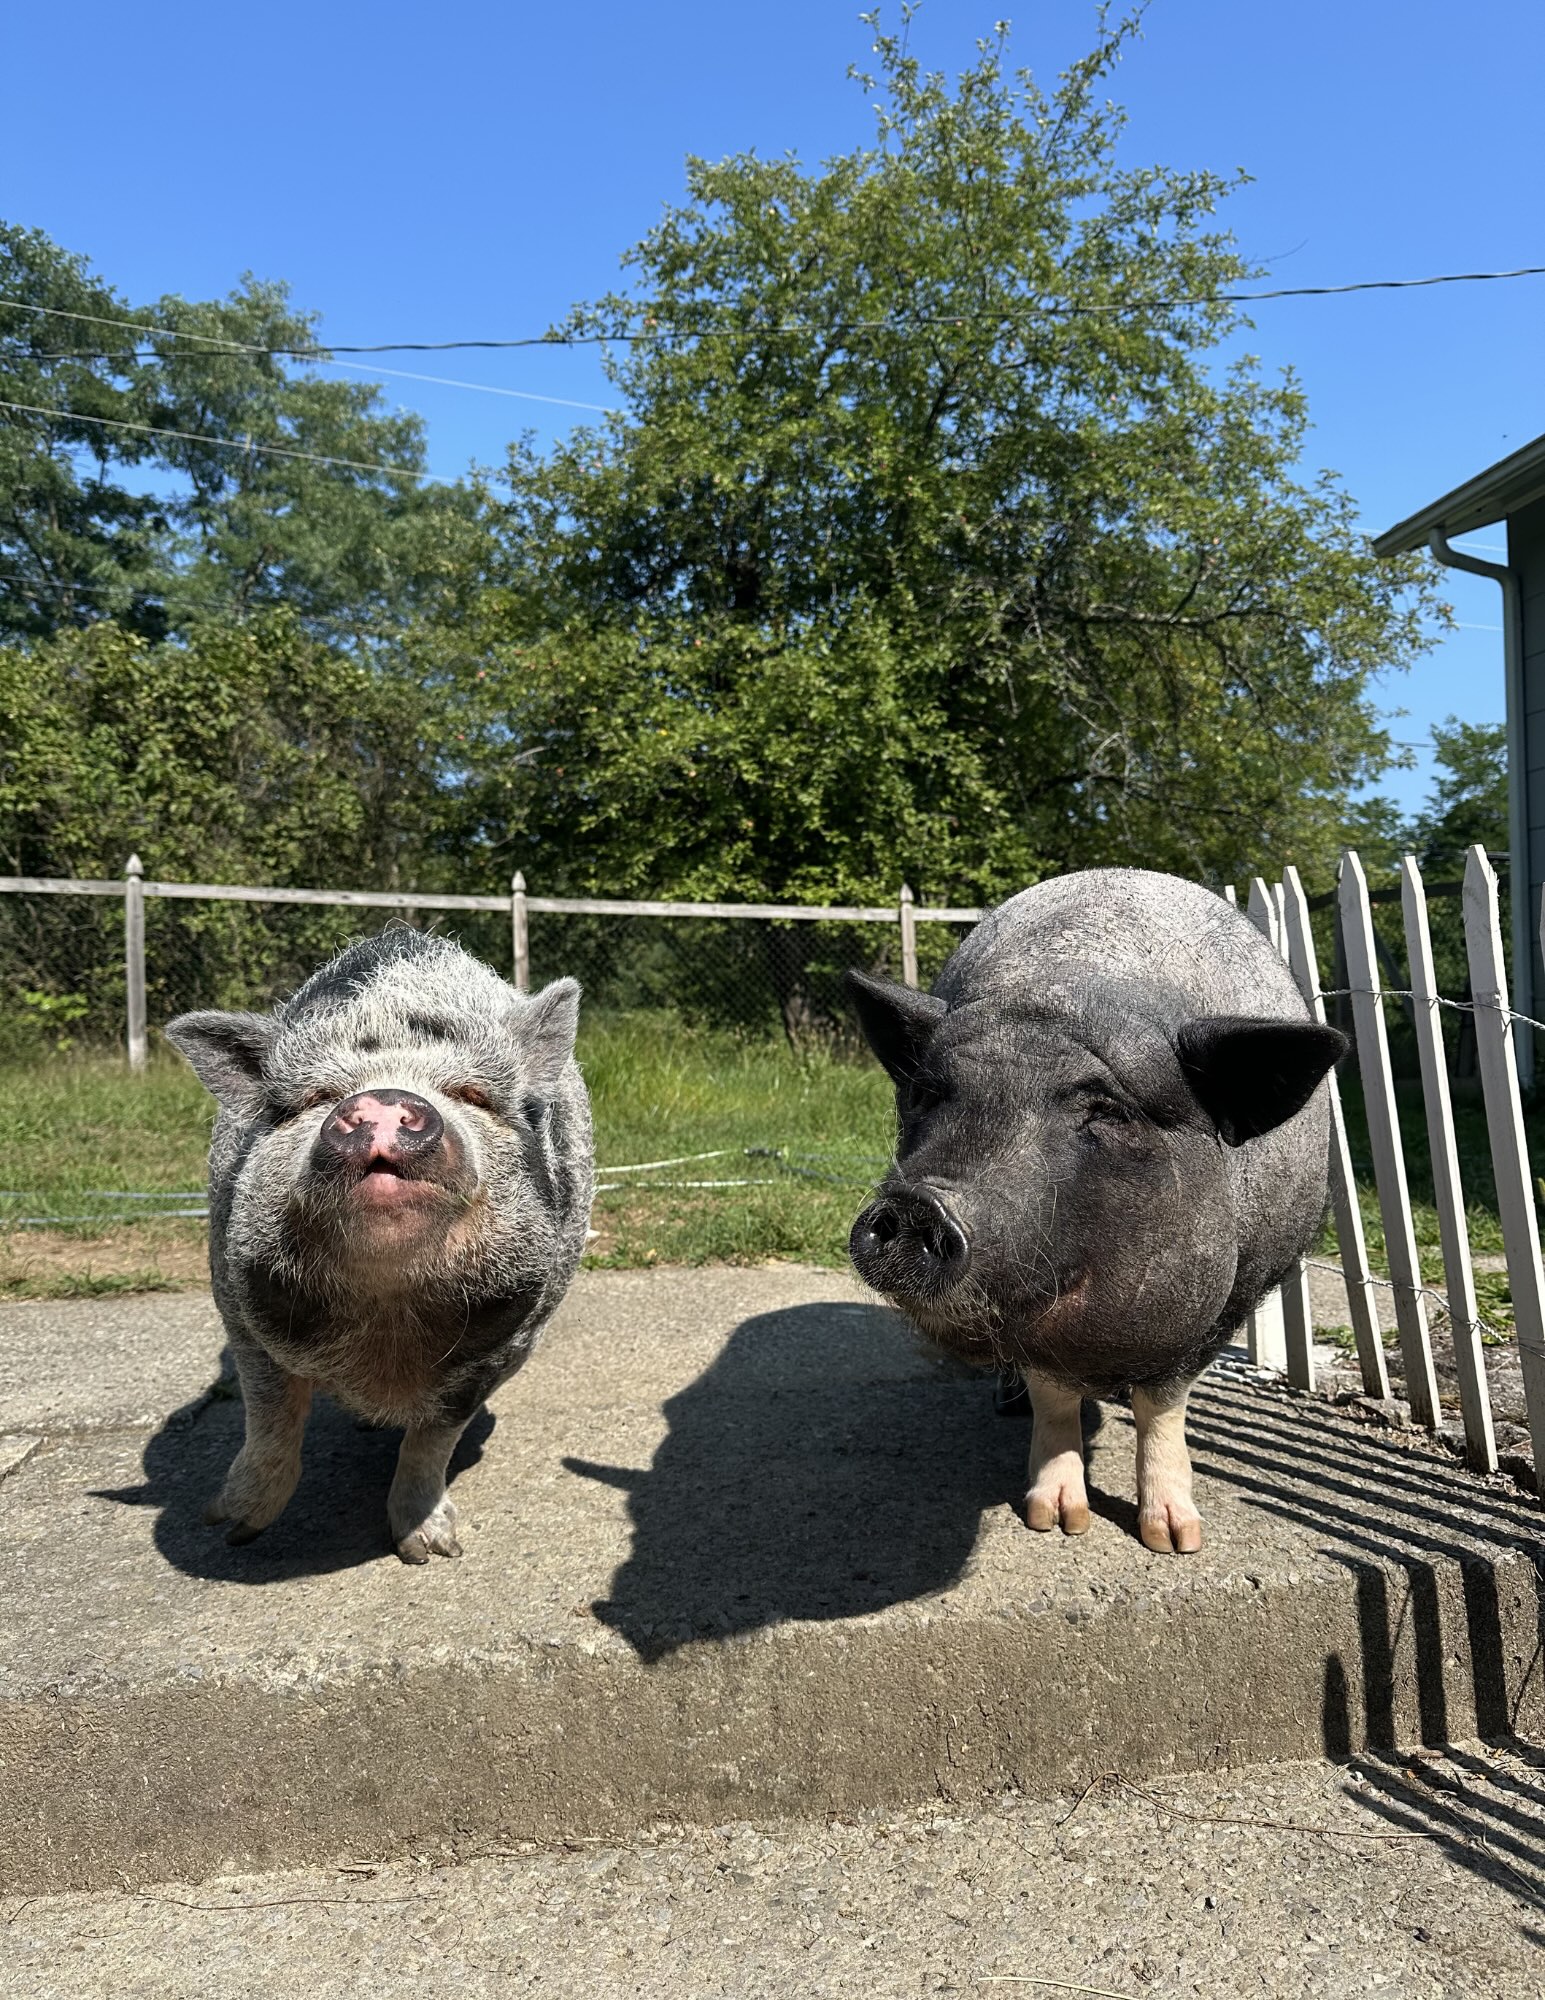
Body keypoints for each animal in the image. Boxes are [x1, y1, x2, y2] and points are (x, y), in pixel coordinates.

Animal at [165, 927, 593, 1563]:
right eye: (317, 1097)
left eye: (472, 1093)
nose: (386, 1098)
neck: (386, 1307)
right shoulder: (238, 1306)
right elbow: (270, 1413)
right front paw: (230, 1527)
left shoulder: (510, 1341)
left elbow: (435, 1437)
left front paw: (431, 1552)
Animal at [846, 868, 1345, 1555]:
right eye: (927, 1093)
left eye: (1106, 1109)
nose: (920, 1204)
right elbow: (1052, 1394)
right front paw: (1058, 1521)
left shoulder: (1229, 1297)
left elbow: (1163, 1405)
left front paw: (1174, 1540)